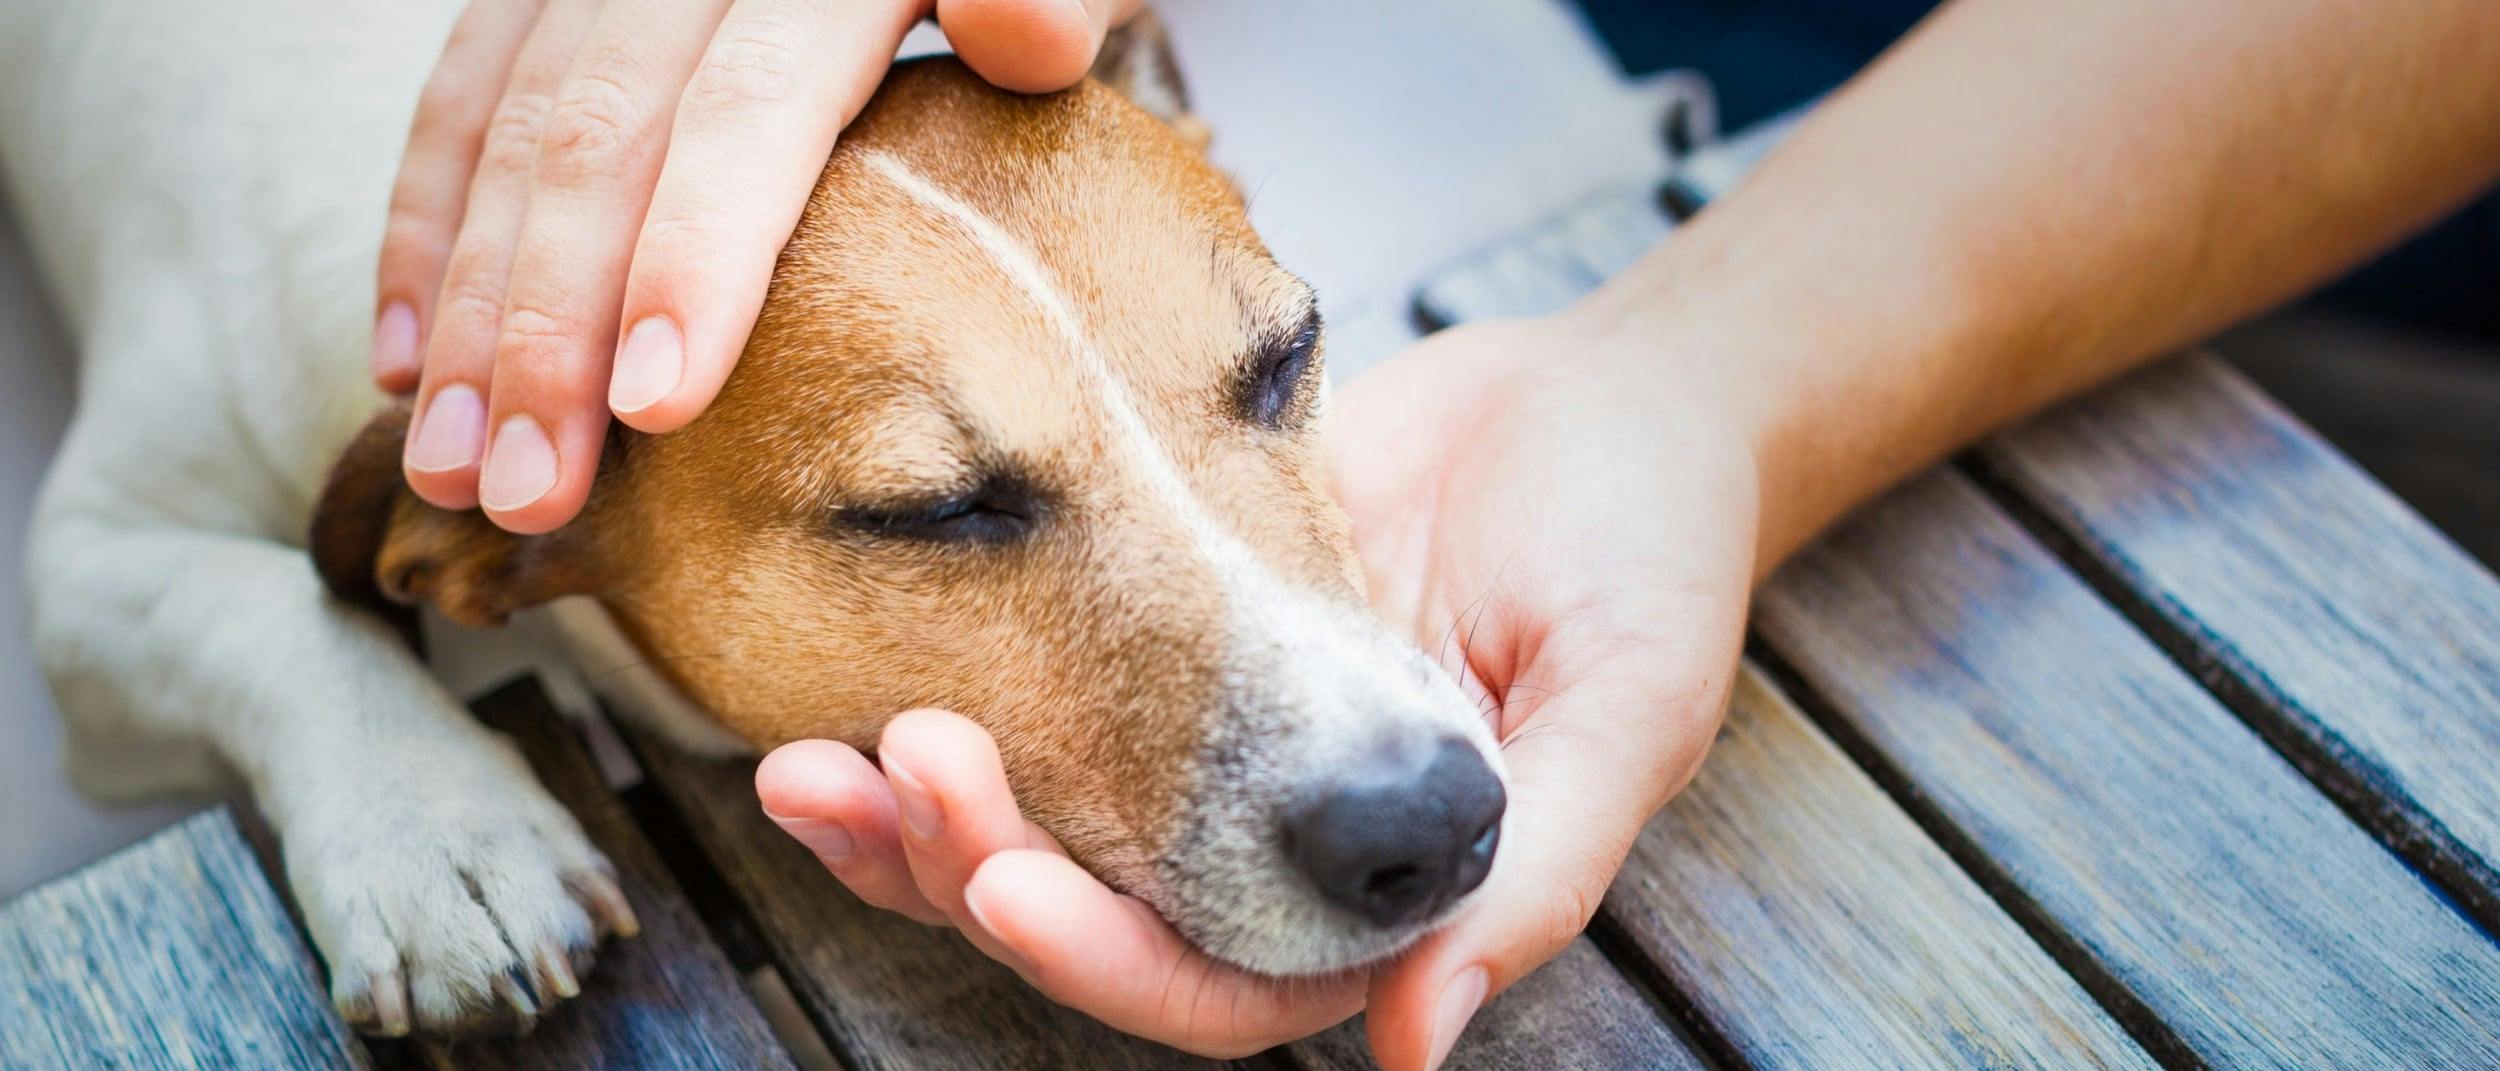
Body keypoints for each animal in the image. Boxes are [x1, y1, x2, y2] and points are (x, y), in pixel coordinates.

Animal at [0, 0, 1500, 1035]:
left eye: (1289, 357)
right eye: (936, 510)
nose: (1430, 818)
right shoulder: (87, 566)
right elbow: (265, 602)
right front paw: (436, 834)